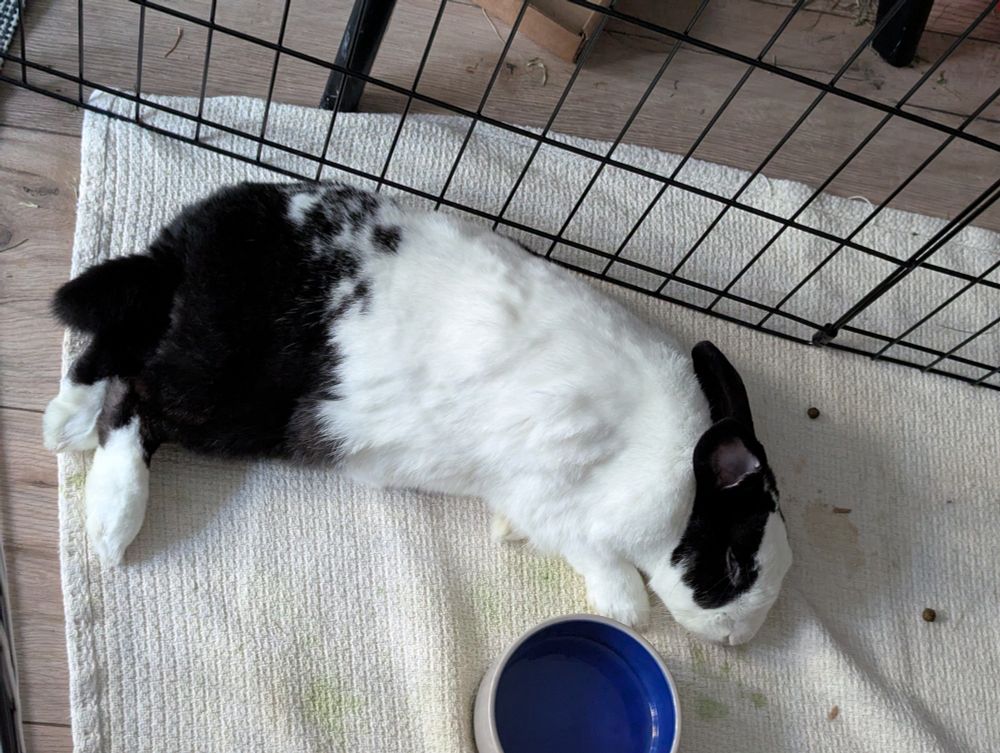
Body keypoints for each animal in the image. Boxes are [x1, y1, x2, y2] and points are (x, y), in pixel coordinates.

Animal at [43, 181, 791, 644]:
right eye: (734, 566)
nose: (739, 637)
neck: (679, 471)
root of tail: (182, 251)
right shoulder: (555, 498)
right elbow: (592, 551)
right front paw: (627, 608)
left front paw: (509, 539)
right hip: (223, 391)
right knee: (136, 396)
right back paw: (111, 520)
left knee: (111, 352)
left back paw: (63, 422)